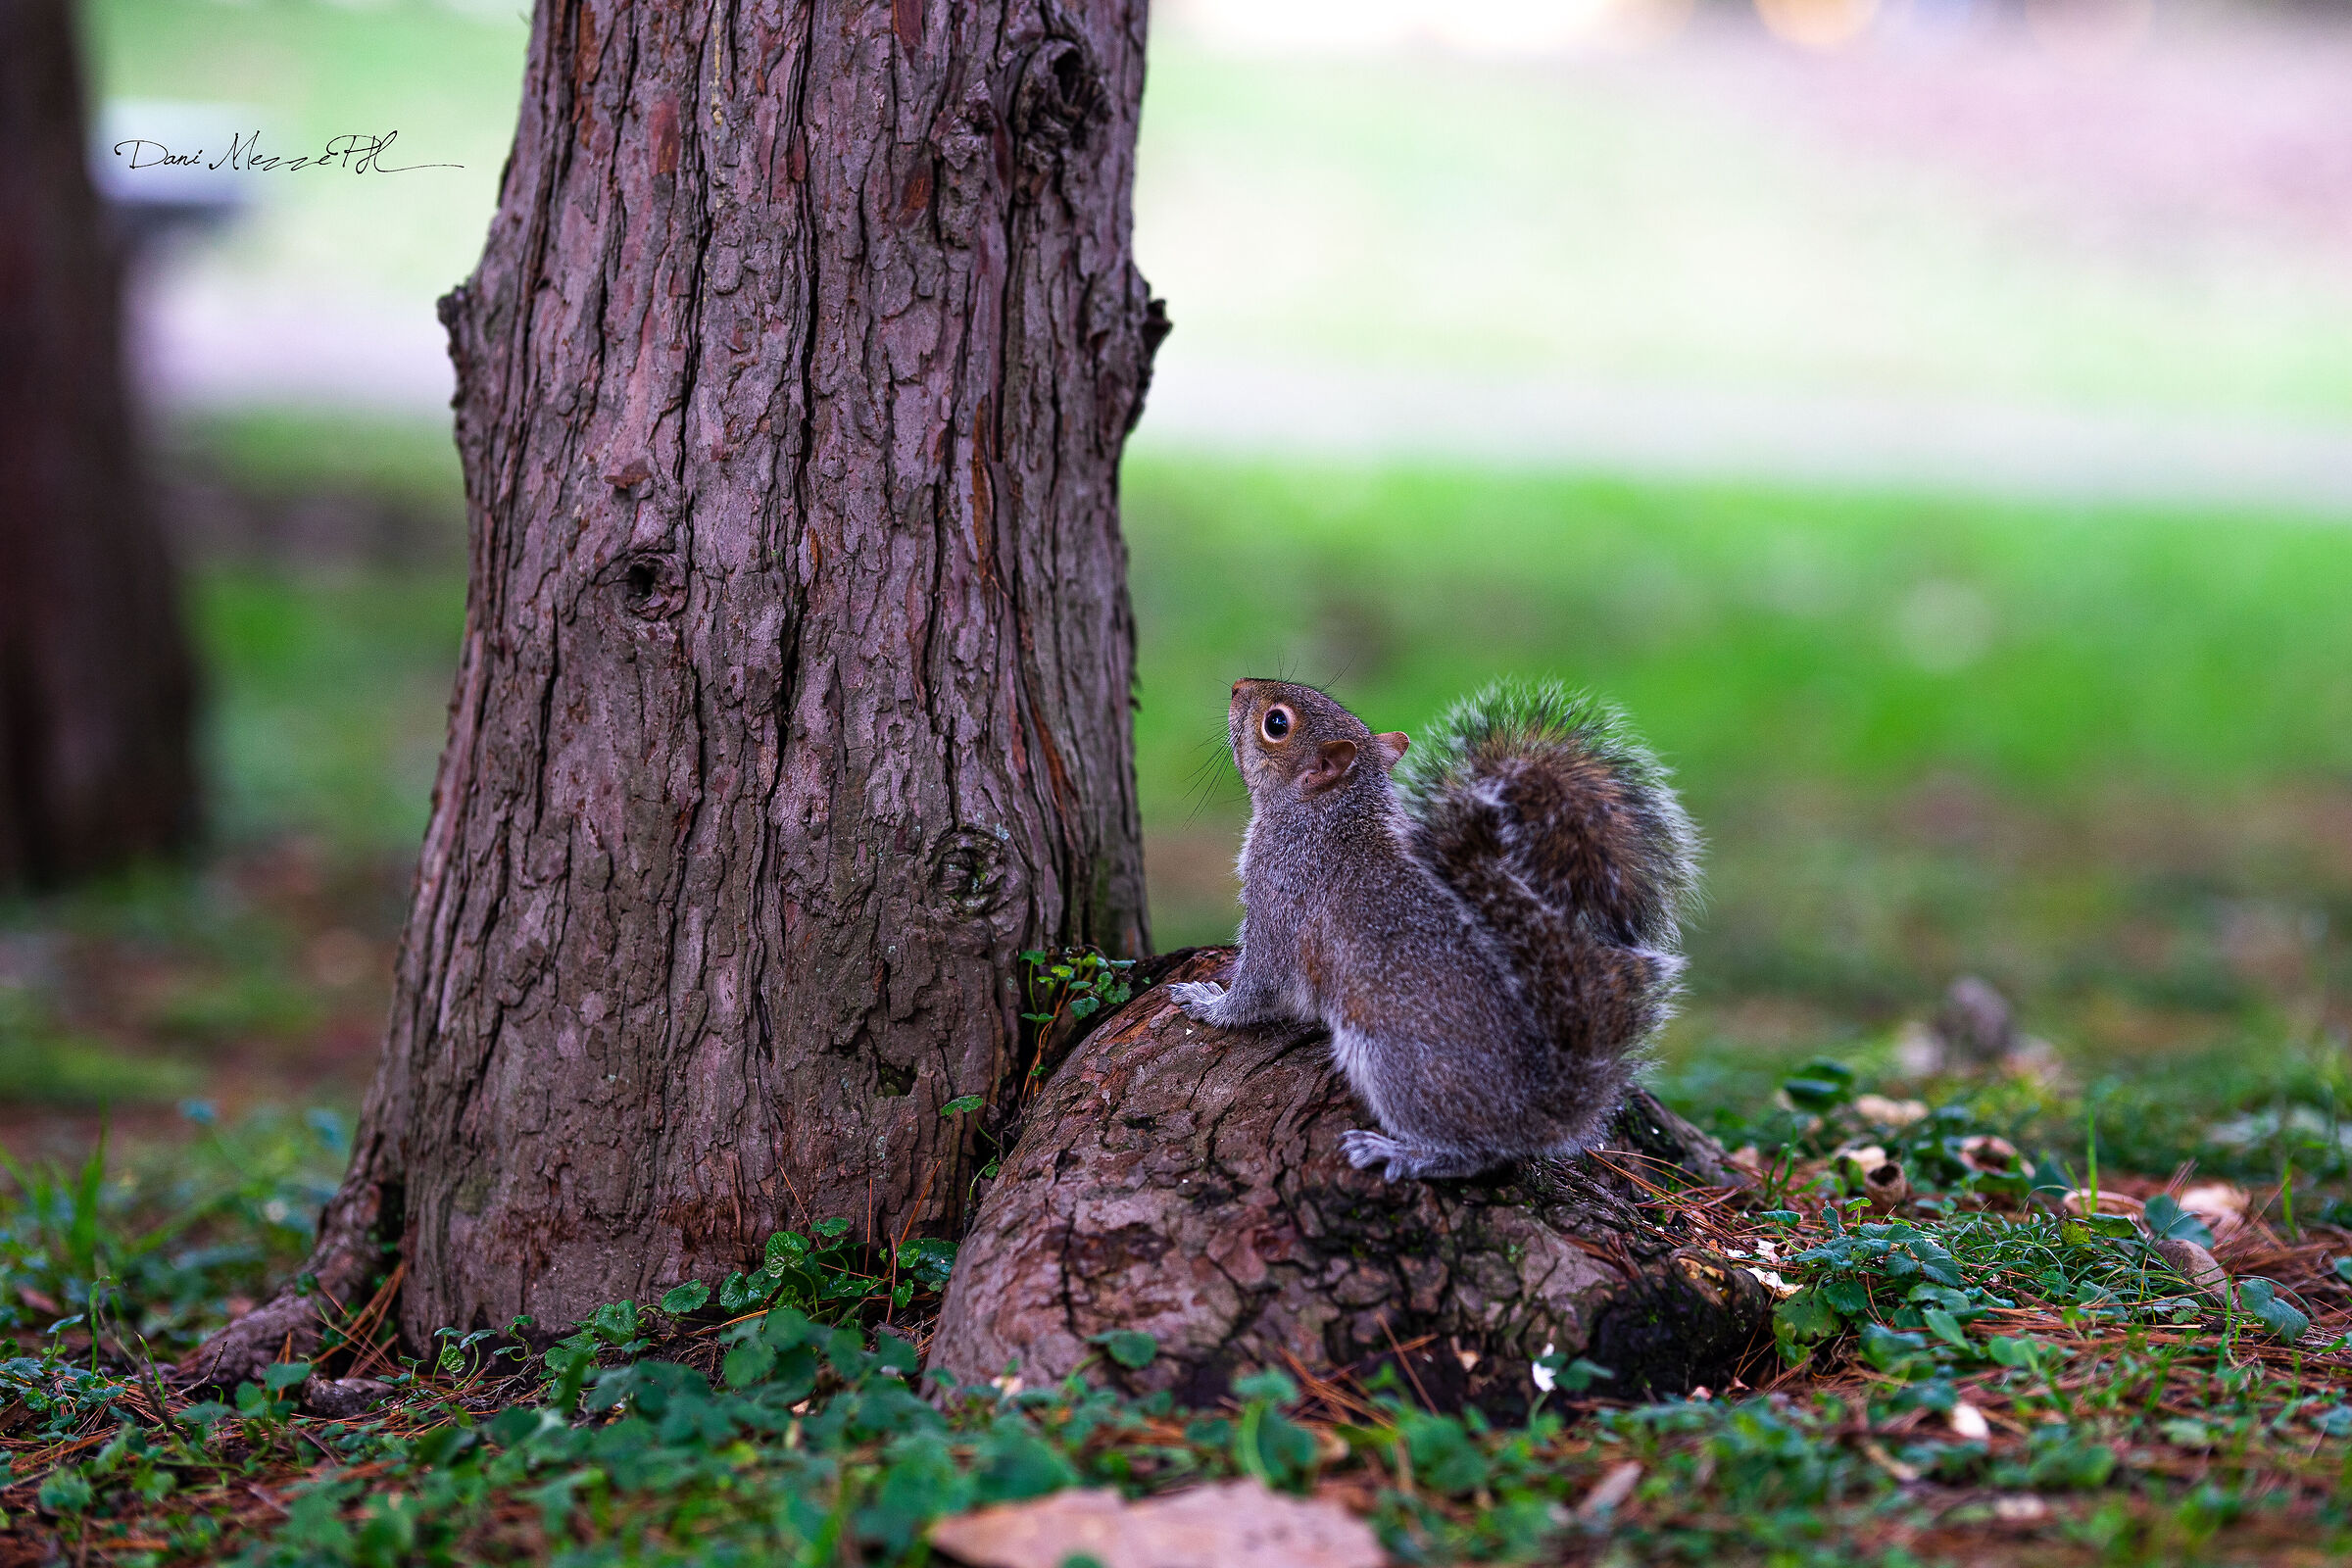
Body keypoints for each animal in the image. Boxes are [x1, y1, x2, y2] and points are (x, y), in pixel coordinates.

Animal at [1170, 677, 1699, 1183]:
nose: (1237, 686)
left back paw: (1402, 1154)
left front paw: (1210, 1004)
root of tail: (1533, 1113)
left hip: (1393, 1062)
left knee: (1477, 1153)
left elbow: (1260, 985)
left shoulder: (1281, 898)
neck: (1326, 814)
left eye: (1276, 724)